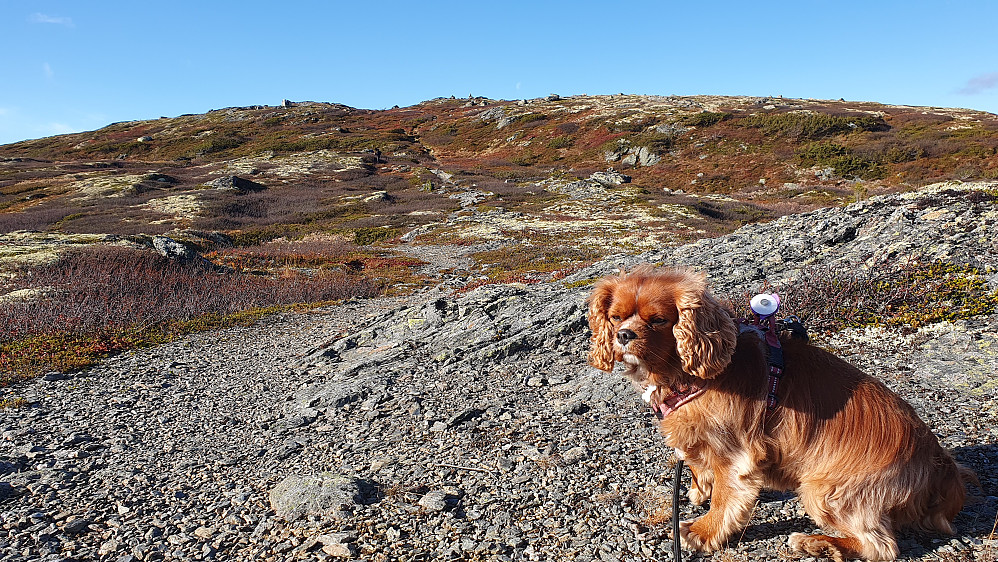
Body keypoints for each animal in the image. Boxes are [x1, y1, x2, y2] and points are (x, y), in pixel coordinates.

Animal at [588, 264, 972, 556]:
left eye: (657, 321)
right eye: (615, 317)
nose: (623, 335)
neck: (683, 374)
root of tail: (937, 461)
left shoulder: (736, 455)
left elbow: (726, 498)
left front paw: (702, 531)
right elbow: (698, 465)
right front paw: (699, 488)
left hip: (824, 489)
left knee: (881, 546)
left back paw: (819, 544)